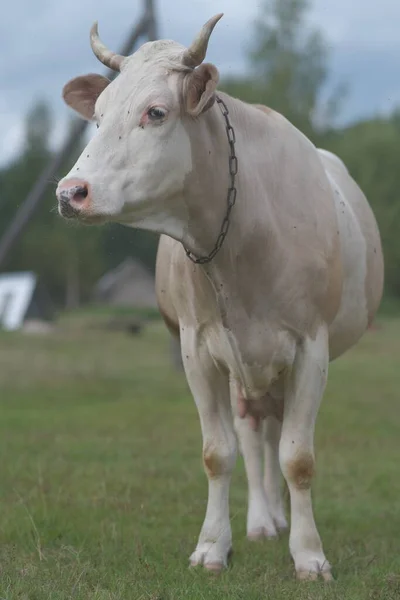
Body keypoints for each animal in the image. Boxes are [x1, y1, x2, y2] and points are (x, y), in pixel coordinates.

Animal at [56, 14, 384, 580]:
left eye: (156, 112)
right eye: (96, 116)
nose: (70, 193)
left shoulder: (311, 347)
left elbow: (298, 457)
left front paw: (309, 554)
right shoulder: (199, 347)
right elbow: (219, 451)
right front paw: (213, 545)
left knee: (274, 436)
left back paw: (279, 519)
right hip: (242, 368)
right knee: (255, 435)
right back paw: (263, 520)